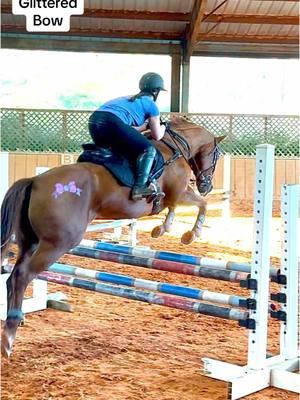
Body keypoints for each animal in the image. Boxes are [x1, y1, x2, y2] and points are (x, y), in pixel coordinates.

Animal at [0, 115, 225, 356]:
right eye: (217, 155)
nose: (206, 185)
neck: (175, 147)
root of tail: (35, 181)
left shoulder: (175, 196)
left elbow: (183, 207)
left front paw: (163, 229)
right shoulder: (178, 193)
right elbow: (201, 204)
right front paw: (190, 233)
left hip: (30, 242)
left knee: (14, 275)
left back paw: (14, 323)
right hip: (57, 244)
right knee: (22, 276)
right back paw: (9, 337)